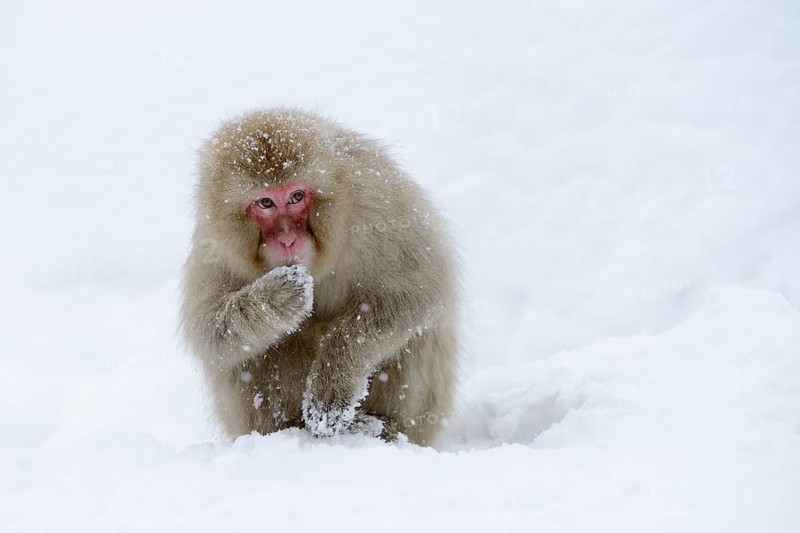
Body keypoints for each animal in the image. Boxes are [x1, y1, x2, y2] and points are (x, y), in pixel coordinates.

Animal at [180, 108, 459, 446]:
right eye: (265, 202)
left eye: (297, 196)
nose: (287, 239)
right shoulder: (215, 244)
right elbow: (207, 331)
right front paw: (274, 299)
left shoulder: (375, 201)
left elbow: (418, 290)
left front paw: (332, 382)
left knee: (419, 332)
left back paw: (381, 428)